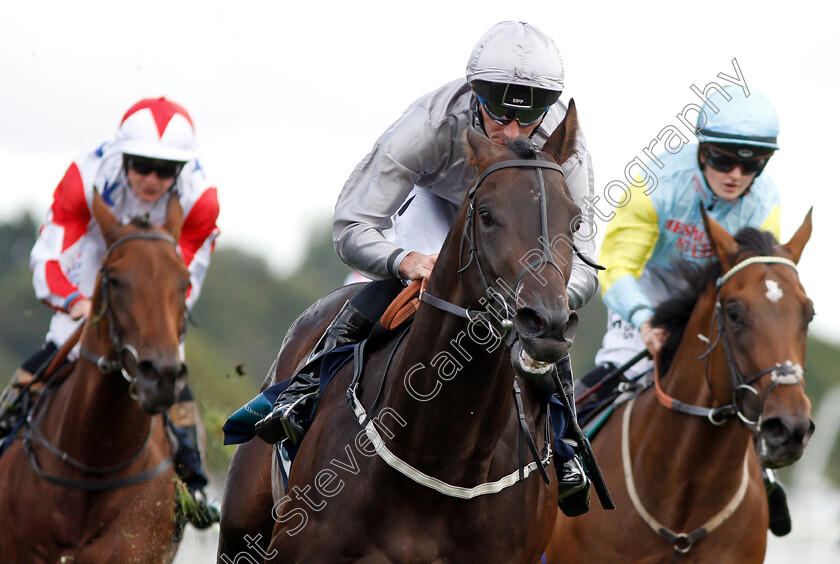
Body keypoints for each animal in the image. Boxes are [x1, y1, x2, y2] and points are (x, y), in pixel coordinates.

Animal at [220, 100, 592, 560]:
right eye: (487, 215)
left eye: (575, 222)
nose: (547, 322)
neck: (443, 456)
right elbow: (352, 223)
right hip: (238, 530)